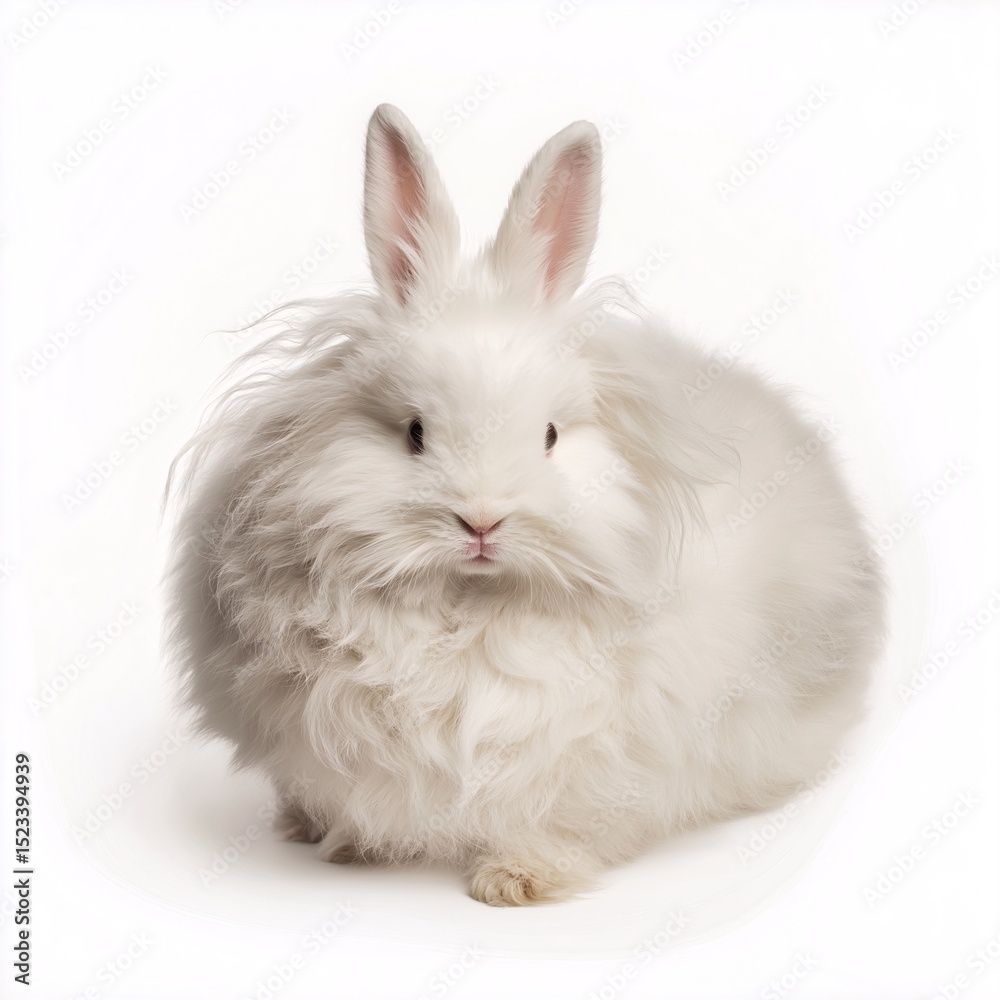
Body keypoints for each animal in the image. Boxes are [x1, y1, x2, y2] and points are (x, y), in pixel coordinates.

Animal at [166, 104, 885, 906]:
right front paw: (353, 846)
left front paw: (516, 883)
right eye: (414, 432)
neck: (472, 609)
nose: (481, 522)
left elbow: (560, 820)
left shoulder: (598, 757)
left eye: (548, 435)